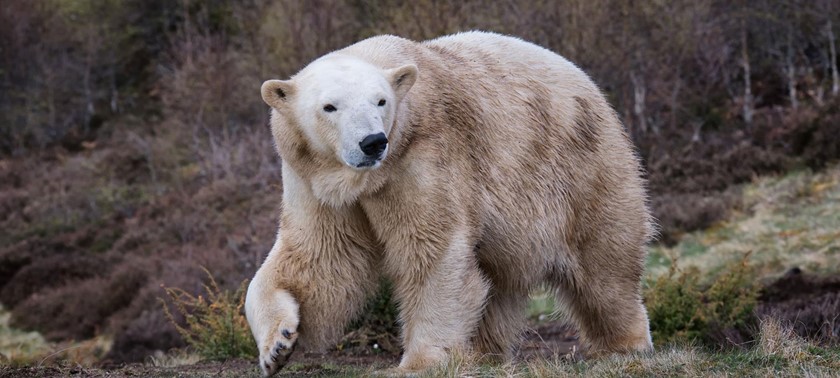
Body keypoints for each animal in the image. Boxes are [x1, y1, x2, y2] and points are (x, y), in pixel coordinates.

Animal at [246, 31, 652, 376]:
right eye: (330, 107)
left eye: (381, 101)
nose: (373, 142)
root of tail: (588, 83)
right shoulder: (314, 180)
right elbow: (320, 258)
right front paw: (277, 346)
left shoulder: (422, 156)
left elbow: (432, 247)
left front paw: (421, 361)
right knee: (496, 279)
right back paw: (484, 352)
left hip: (583, 169)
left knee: (604, 266)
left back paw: (624, 344)